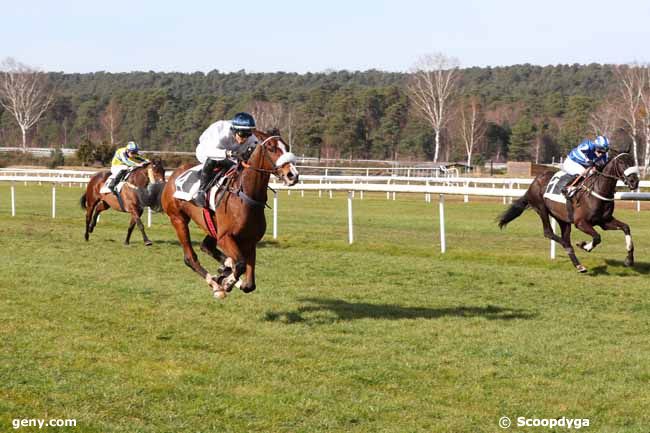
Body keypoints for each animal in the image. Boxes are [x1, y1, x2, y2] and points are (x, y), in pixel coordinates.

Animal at [161, 128, 298, 296]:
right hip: (178, 219)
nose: (293, 175)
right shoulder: (225, 237)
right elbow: (240, 265)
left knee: (206, 247)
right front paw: (226, 282)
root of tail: (173, 176)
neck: (246, 196)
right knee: (190, 258)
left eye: (287, 147)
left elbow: (249, 284)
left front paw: (225, 277)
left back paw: (223, 270)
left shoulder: (249, 241)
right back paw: (215, 284)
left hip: (212, 226)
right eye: (271, 148)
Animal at [496, 152, 636, 272]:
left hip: (563, 219)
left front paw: (629, 260)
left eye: (633, 161)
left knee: (564, 237)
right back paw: (570, 248)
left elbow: (626, 227)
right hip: (541, 208)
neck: (598, 190)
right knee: (550, 233)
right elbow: (597, 237)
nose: (634, 181)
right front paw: (585, 245)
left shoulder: (604, 221)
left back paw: (579, 265)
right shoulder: (580, 222)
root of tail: (534, 182)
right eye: (622, 162)